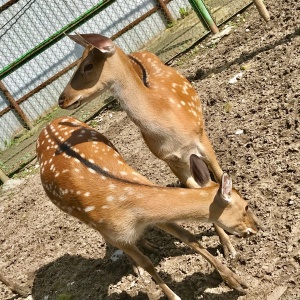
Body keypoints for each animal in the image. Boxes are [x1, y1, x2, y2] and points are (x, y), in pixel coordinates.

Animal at [36, 115, 256, 300]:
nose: (256, 228)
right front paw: (172, 296)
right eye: (245, 206)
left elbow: (190, 238)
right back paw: (137, 264)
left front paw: (236, 281)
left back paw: (151, 245)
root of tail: (47, 125)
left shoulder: (158, 217)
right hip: (84, 219)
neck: (131, 210)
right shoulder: (115, 234)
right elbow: (147, 263)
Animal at [58, 32, 246, 258]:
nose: (62, 99)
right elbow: (200, 192)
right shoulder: (170, 160)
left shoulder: (201, 139)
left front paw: (231, 245)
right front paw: (226, 247)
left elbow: (218, 176)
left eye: (88, 65)